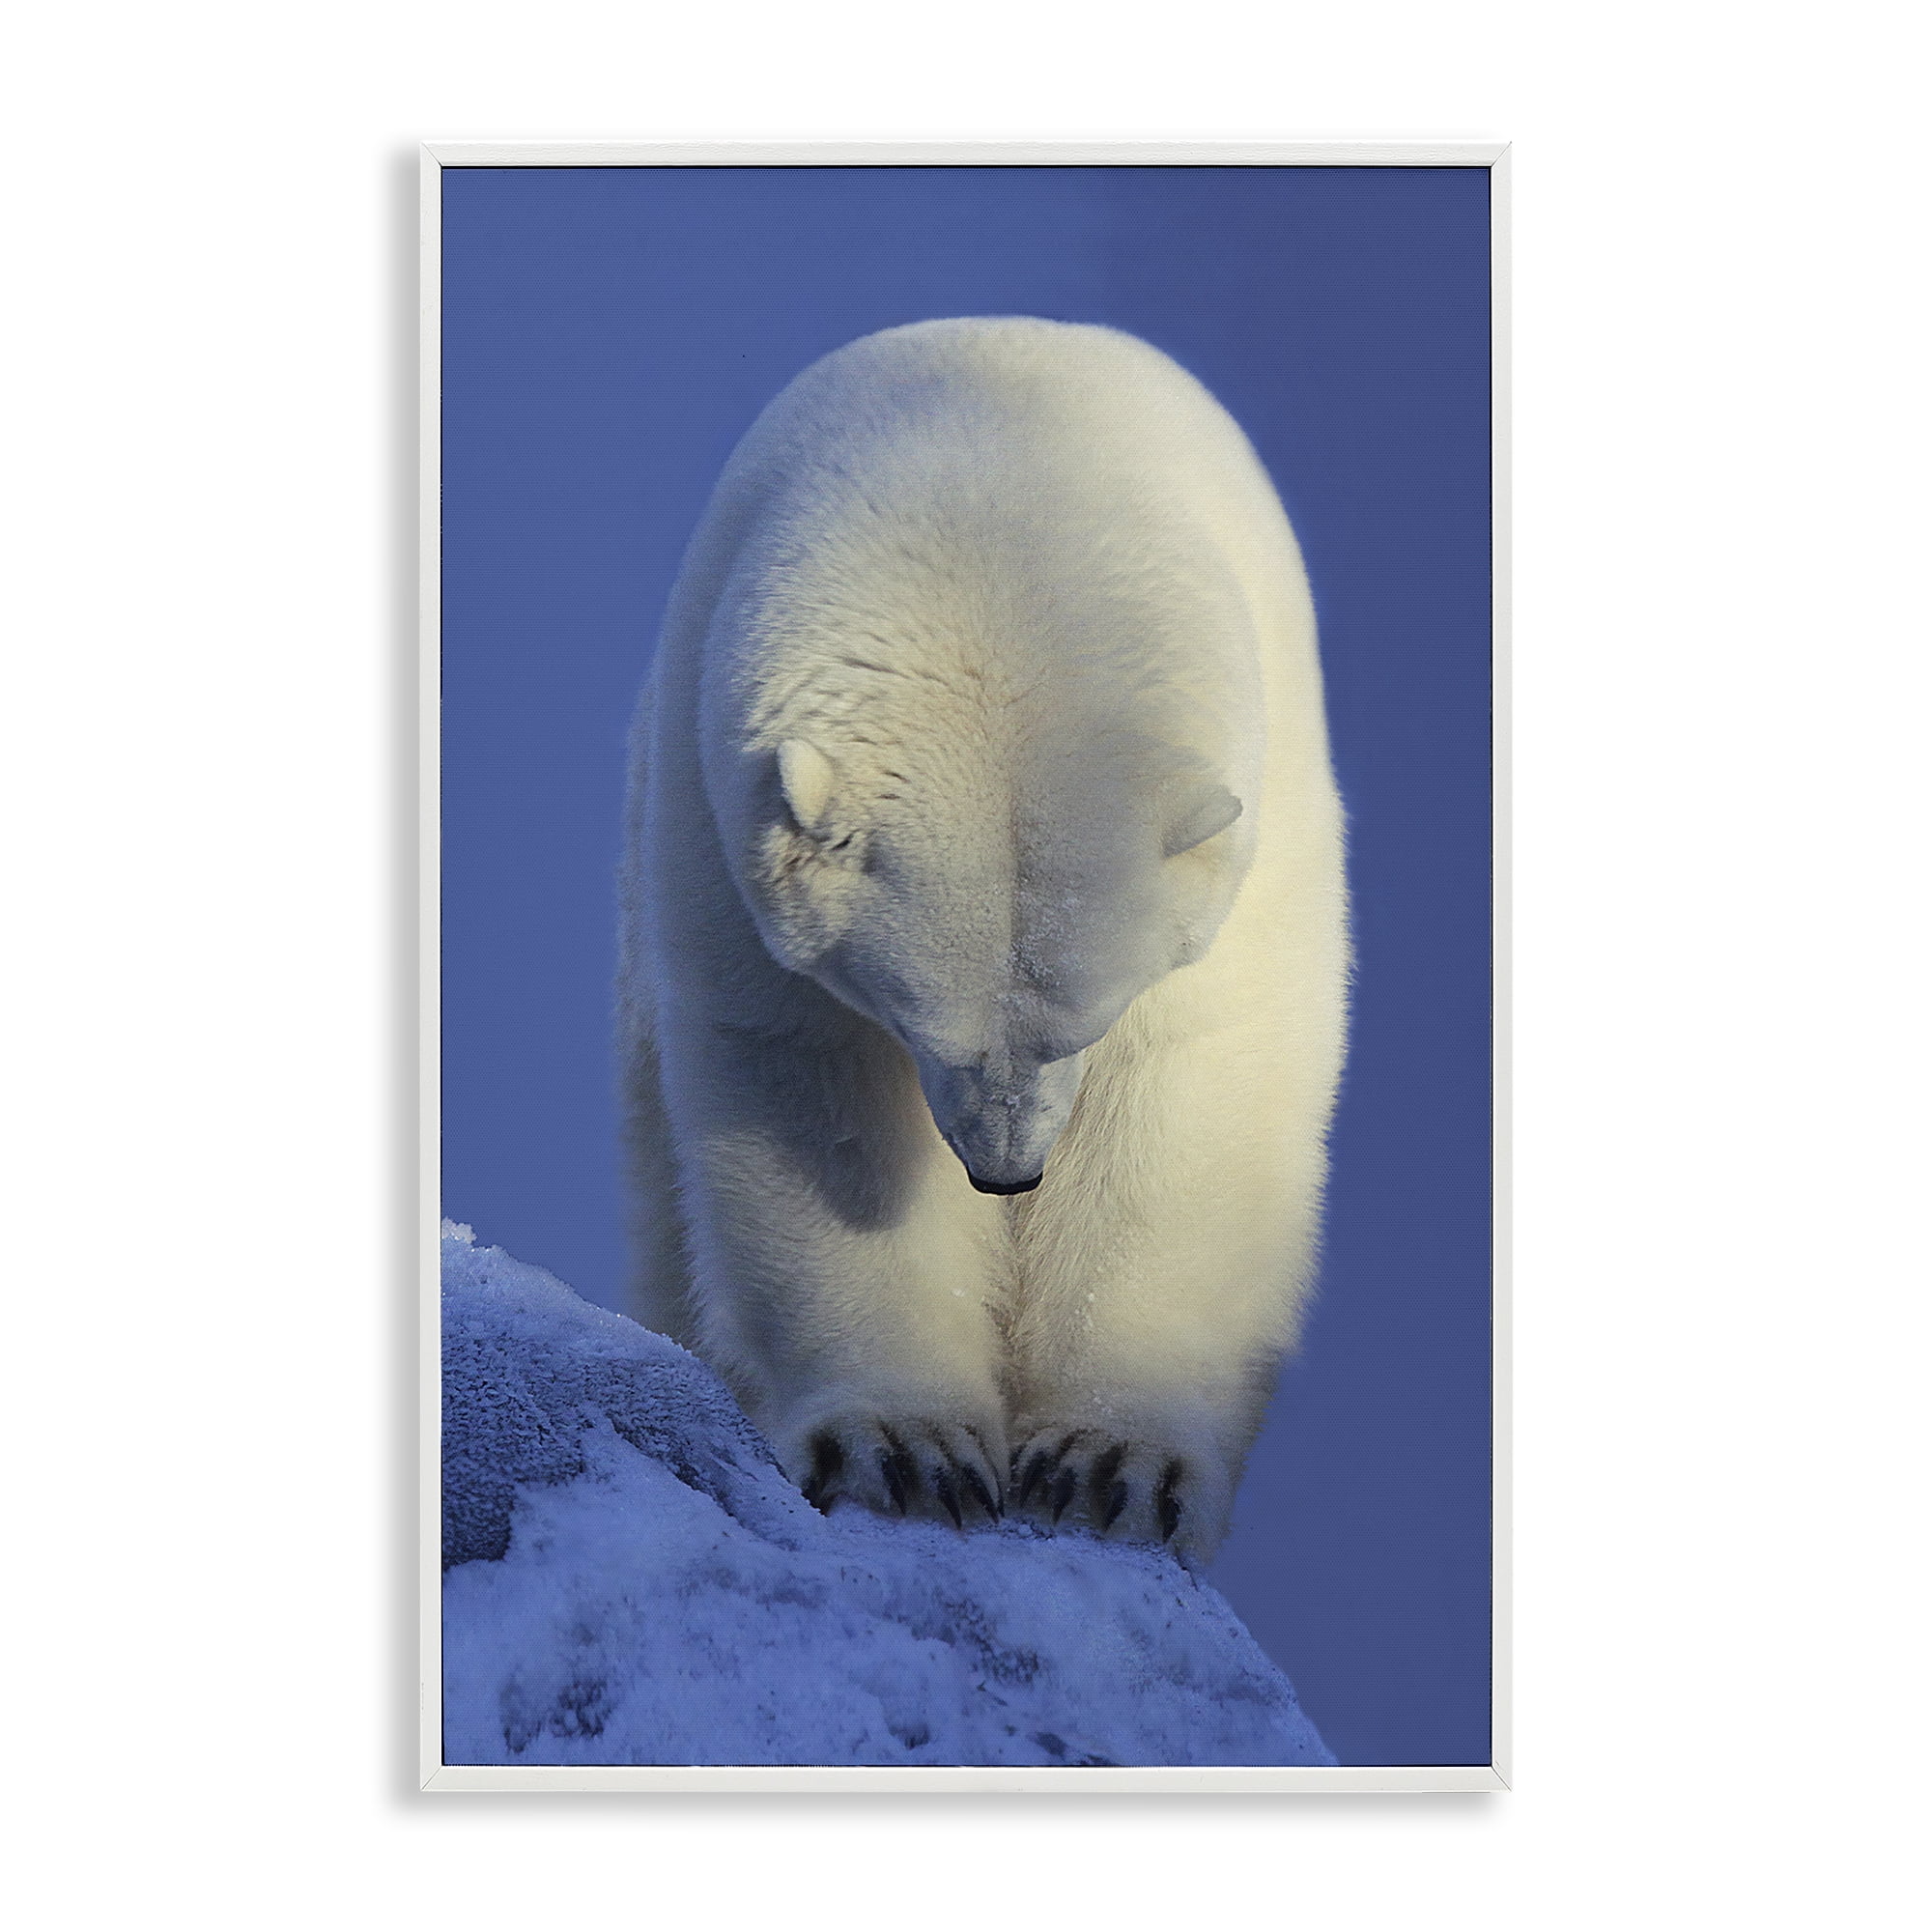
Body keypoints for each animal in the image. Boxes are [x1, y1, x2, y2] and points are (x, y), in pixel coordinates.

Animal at [617, 317, 1348, 1564]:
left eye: (1084, 1022)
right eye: (918, 1020)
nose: (1007, 1171)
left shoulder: (1258, 829)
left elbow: (1193, 1091)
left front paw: (1109, 1467)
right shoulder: (716, 828)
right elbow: (813, 1095)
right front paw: (905, 1453)